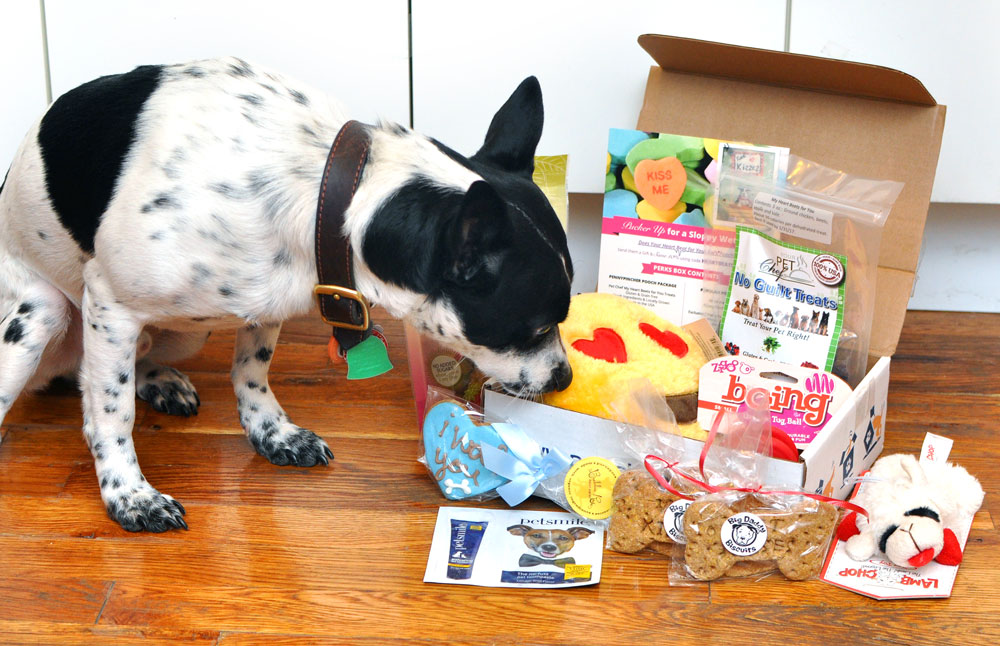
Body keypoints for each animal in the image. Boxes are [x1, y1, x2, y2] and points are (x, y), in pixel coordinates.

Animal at [0, 57, 576, 532]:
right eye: (536, 327)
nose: (565, 378)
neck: (325, 185)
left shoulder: (266, 302)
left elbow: (251, 372)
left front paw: (271, 434)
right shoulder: (112, 305)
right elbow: (111, 413)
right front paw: (129, 495)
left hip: (185, 332)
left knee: (136, 358)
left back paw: (160, 380)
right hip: (42, 318)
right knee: (84, 375)